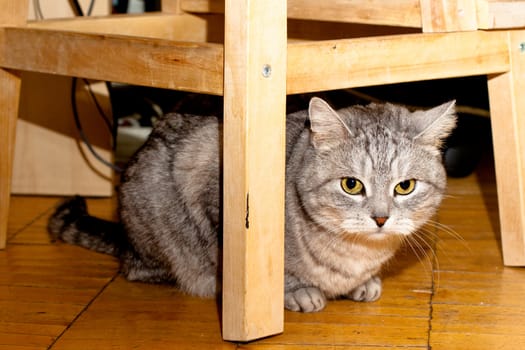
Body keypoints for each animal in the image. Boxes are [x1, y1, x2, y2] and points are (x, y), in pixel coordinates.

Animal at [49, 95, 454, 312]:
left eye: (405, 186)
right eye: (351, 185)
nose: (381, 219)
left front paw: (364, 282)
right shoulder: (214, 189)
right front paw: (296, 291)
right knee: (145, 269)